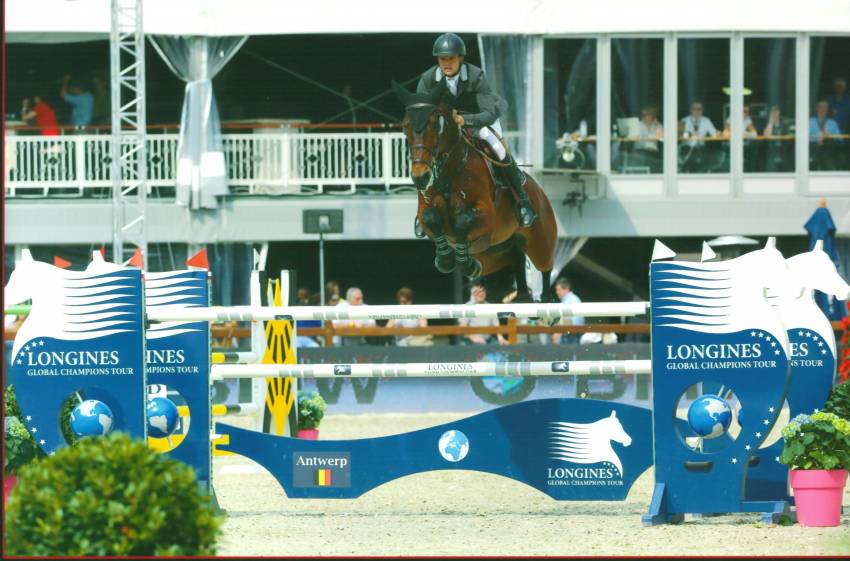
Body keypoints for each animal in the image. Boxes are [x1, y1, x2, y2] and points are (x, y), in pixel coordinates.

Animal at [392, 81, 557, 303]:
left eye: (436, 125)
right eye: (405, 126)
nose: (420, 177)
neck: (449, 170)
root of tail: (540, 192)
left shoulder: (487, 215)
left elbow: (463, 220)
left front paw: (465, 264)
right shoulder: (425, 210)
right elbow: (430, 217)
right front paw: (447, 260)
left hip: (541, 240)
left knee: (545, 266)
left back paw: (547, 301)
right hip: (493, 256)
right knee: (517, 259)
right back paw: (522, 296)